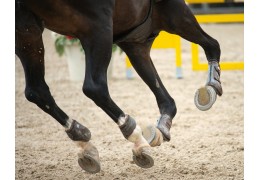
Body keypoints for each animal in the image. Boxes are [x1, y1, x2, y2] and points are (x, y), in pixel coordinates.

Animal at [15, 0, 222, 174]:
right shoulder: (170, 12)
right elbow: (212, 46)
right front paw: (211, 86)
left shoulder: (135, 42)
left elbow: (164, 97)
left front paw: (162, 127)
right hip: (99, 26)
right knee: (94, 87)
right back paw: (133, 137)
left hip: (28, 30)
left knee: (37, 91)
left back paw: (82, 138)